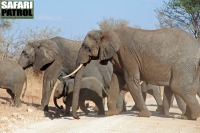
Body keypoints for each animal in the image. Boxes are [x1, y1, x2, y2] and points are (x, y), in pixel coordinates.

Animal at [69, 26, 200, 119]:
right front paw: (111, 114)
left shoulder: (127, 54)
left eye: (86, 47)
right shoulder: (118, 57)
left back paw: (191, 117)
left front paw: (144, 115)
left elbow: (131, 79)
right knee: (188, 88)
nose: (78, 117)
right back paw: (186, 116)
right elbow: (116, 81)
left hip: (183, 64)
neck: (109, 31)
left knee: (178, 87)